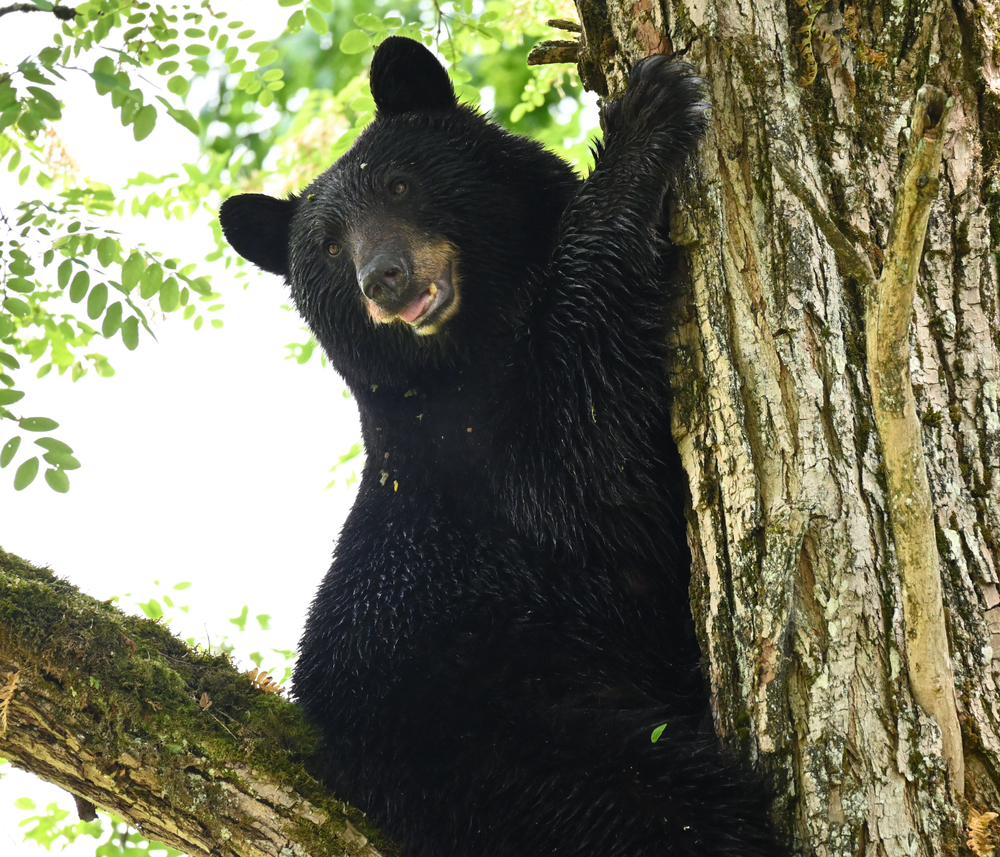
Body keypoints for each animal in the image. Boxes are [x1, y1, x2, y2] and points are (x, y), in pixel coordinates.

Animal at [219, 35, 781, 857]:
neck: (466, 350)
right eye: (325, 246)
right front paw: (645, 121)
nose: (383, 278)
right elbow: (580, 467)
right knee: (657, 807)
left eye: (399, 181)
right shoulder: (474, 451)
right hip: (503, 733)